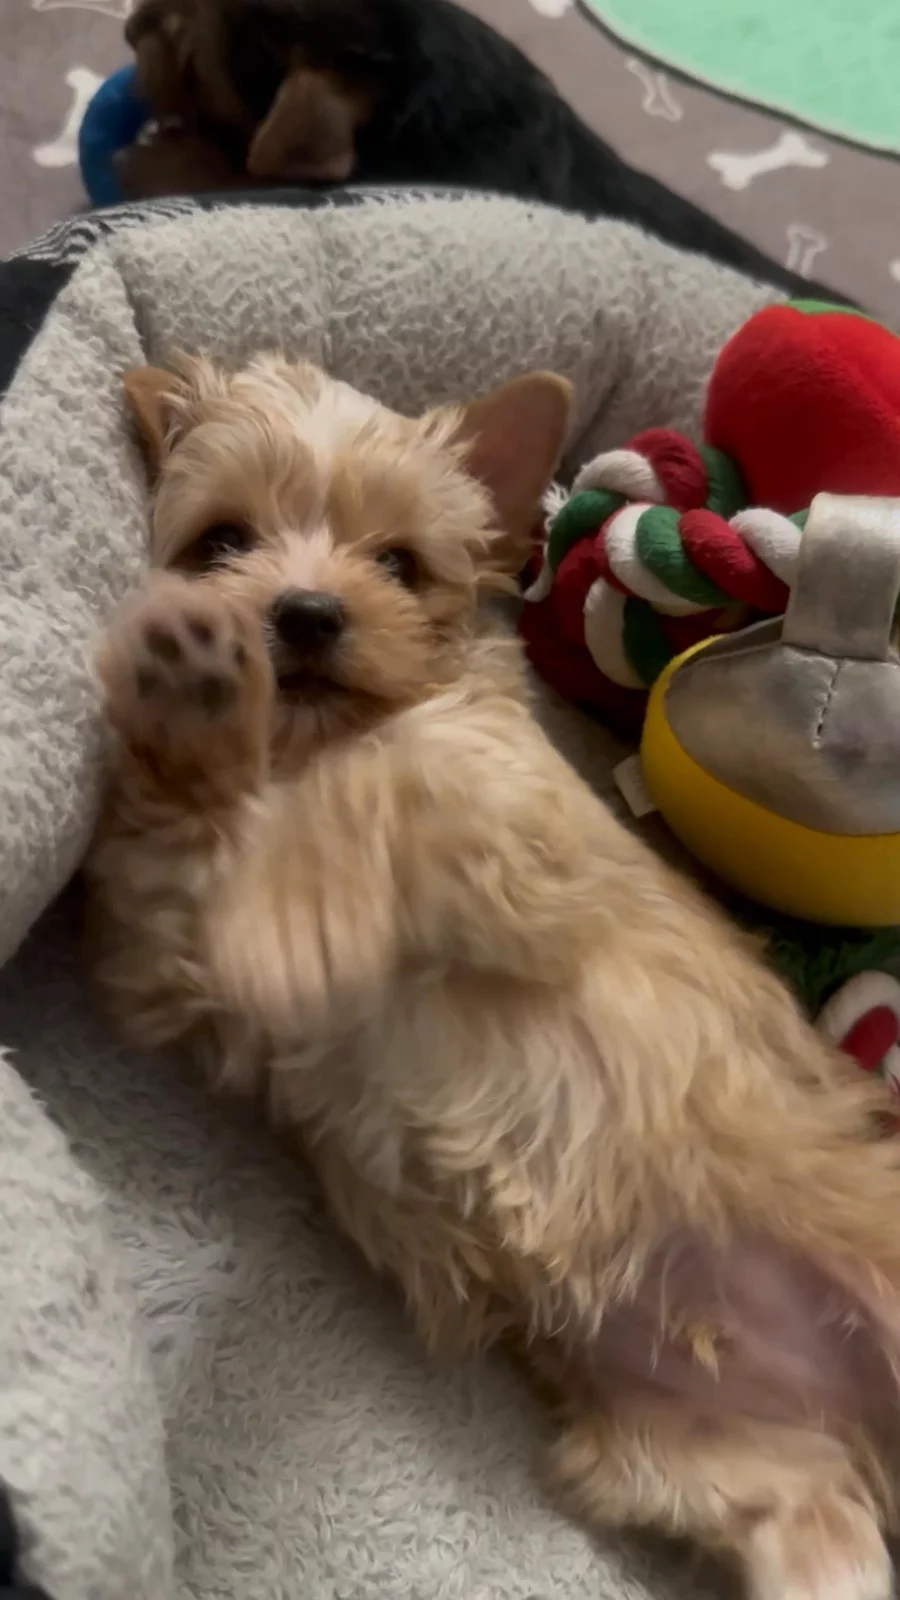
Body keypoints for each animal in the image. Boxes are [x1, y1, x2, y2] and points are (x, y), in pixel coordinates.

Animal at [89, 351, 900, 1600]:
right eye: (221, 540)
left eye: (398, 565)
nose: (304, 614)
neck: (305, 747)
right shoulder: (157, 949)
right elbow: (179, 854)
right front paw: (191, 702)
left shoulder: (506, 817)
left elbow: (375, 801)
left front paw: (290, 906)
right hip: (736, 1466)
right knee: (819, 1540)